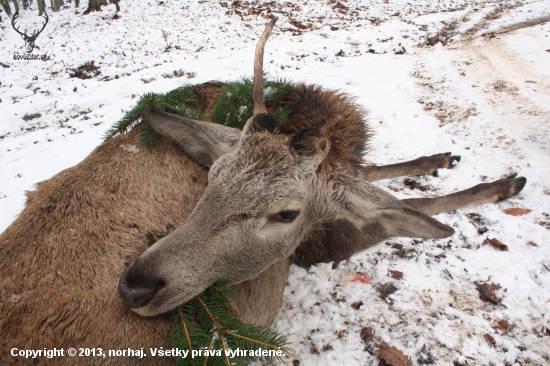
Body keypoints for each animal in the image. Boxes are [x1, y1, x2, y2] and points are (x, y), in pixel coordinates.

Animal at [0, 15, 528, 364]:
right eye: (212, 177)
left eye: (287, 214)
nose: (135, 285)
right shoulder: (321, 245)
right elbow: (405, 199)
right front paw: (496, 181)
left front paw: (461, 166)